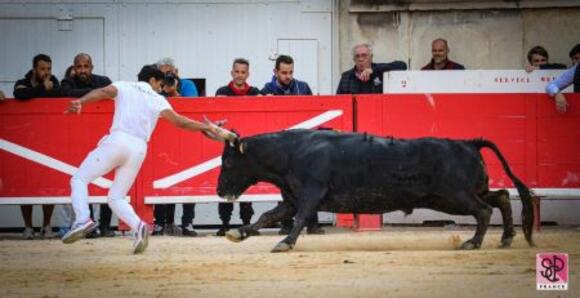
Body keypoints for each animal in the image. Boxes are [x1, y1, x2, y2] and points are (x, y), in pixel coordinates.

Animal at [215, 129, 532, 253]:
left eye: (228, 162)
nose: (219, 191)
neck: (291, 153)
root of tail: (468, 143)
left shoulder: (310, 194)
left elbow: (301, 218)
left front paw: (285, 243)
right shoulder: (291, 199)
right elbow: (268, 216)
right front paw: (238, 233)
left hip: (455, 197)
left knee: (484, 209)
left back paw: (473, 243)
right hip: (457, 195)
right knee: (501, 197)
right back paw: (506, 238)